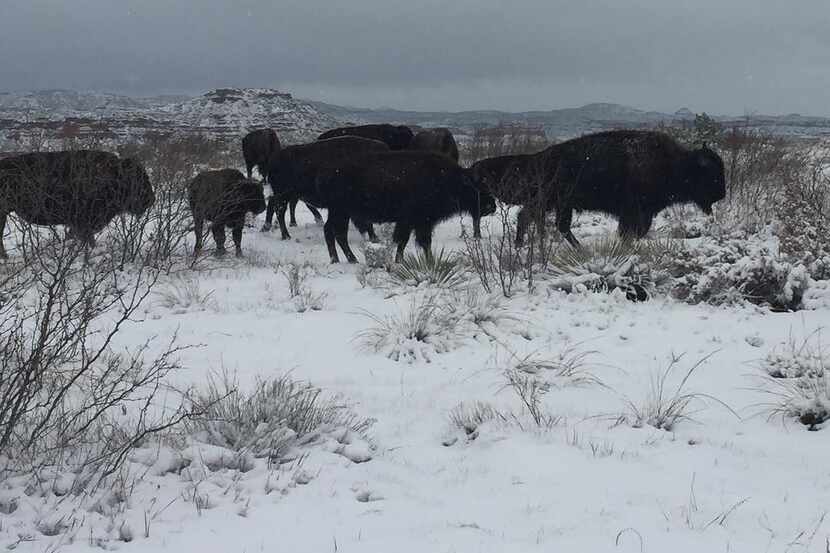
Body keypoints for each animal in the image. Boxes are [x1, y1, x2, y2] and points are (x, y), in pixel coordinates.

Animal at [286, 151, 494, 264]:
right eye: (479, 187)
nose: (492, 206)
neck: (451, 179)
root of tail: (323, 173)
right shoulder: (418, 221)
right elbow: (418, 242)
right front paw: (426, 260)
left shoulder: (412, 222)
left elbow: (406, 241)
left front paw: (401, 260)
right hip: (340, 212)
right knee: (335, 232)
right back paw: (346, 260)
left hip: (340, 213)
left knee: (334, 232)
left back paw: (344, 259)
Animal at [544, 129, 724, 246]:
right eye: (712, 174)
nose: (721, 194)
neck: (677, 163)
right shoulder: (634, 212)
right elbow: (630, 232)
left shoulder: (643, 213)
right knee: (562, 226)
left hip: (562, 206)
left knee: (562, 226)